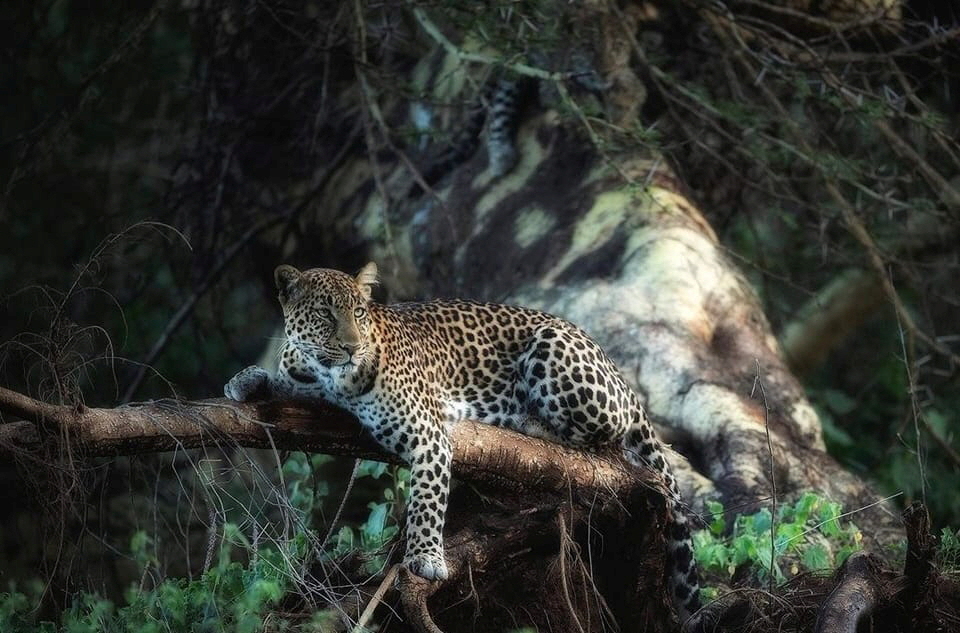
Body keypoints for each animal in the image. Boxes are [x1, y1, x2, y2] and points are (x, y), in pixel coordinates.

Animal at [224, 263, 702, 626]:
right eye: (325, 314)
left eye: (359, 313)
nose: (351, 348)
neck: (329, 380)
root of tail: (616, 368)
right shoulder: (302, 379)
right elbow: (278, 378)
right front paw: (243, 381)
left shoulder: (427, 434)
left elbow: (427, 499)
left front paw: (425, 558)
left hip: (556, 354)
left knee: (608, 431)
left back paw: (527, 418)